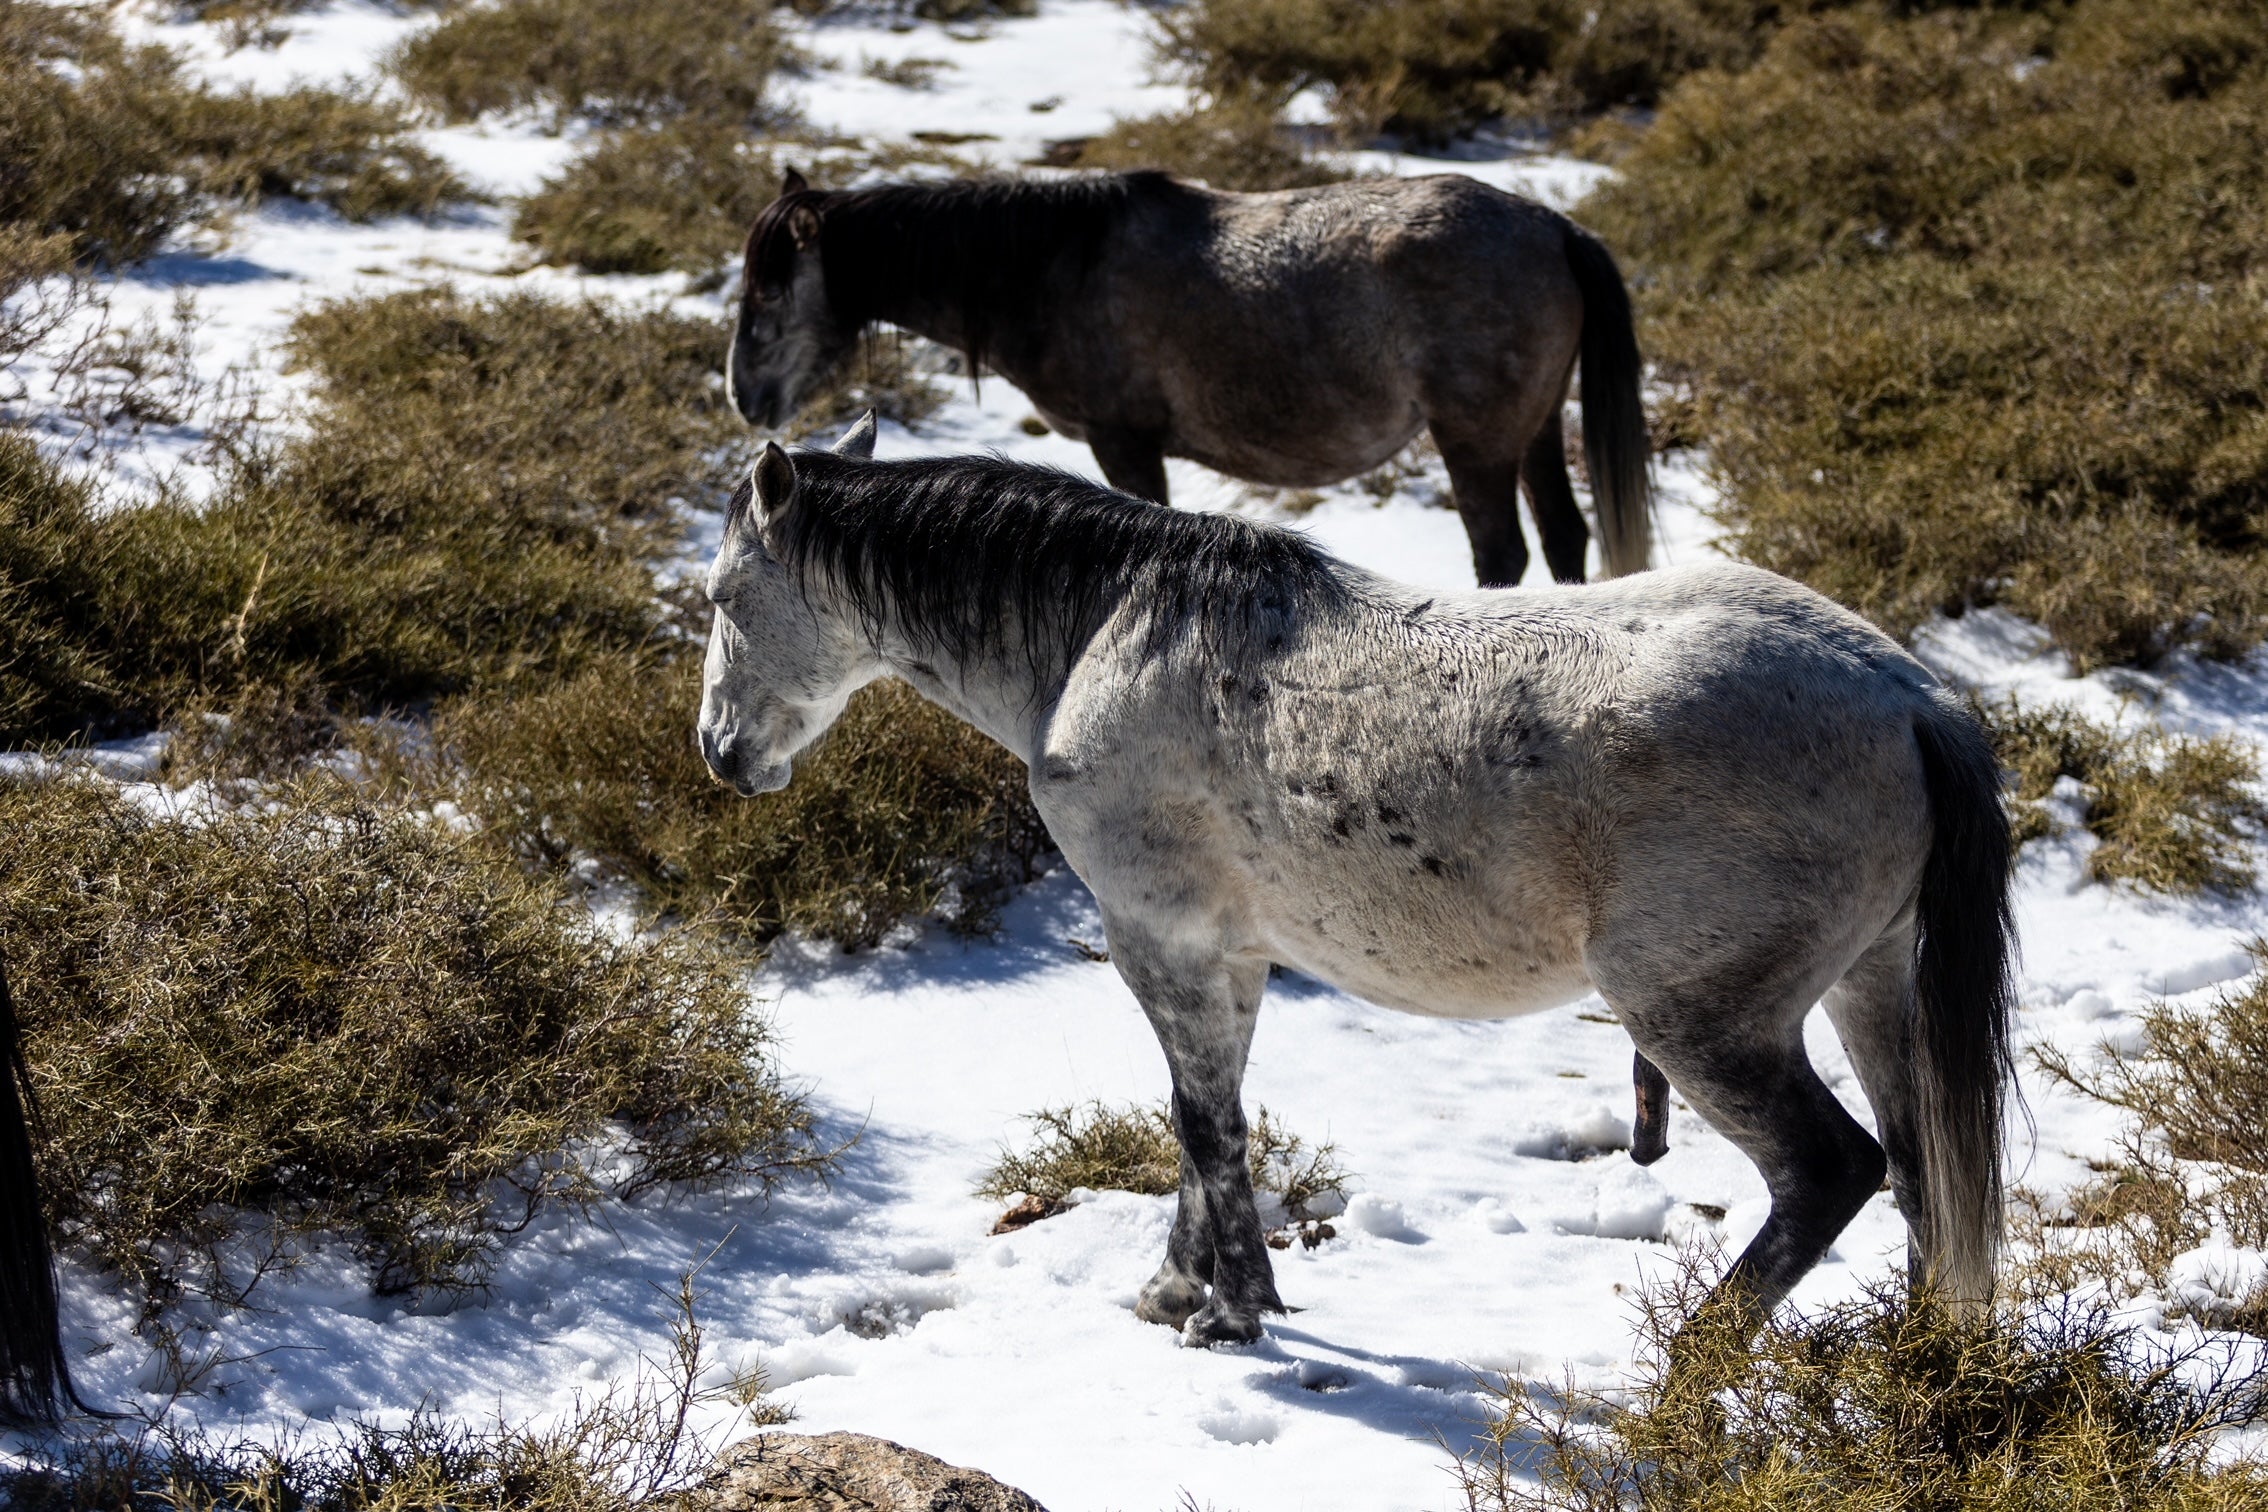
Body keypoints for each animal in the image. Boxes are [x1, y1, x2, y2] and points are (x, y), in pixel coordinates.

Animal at [698, 417, 2013, 1351]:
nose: (719, 753)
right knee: (1922, 1172)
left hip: (1701, 1019)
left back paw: (1687, 1371)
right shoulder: (1229, 954)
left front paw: (1227, 1313)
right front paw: (1186, 1291)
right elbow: (1211, 1121)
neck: (1105, 635)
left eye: (721, 598)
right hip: (1867, 985)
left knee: (1832, 1172)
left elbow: (1202, 1125)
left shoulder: (1158, 936)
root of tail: (1909, 698)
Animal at [734, 166, 1660, 589]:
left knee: (1502, 553)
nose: (746, 397)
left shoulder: (1123, 443)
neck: (1057, 269)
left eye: (771, 288)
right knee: (1565, 537)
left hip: (1474, 443)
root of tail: (1555, 227)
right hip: (1533, 431)